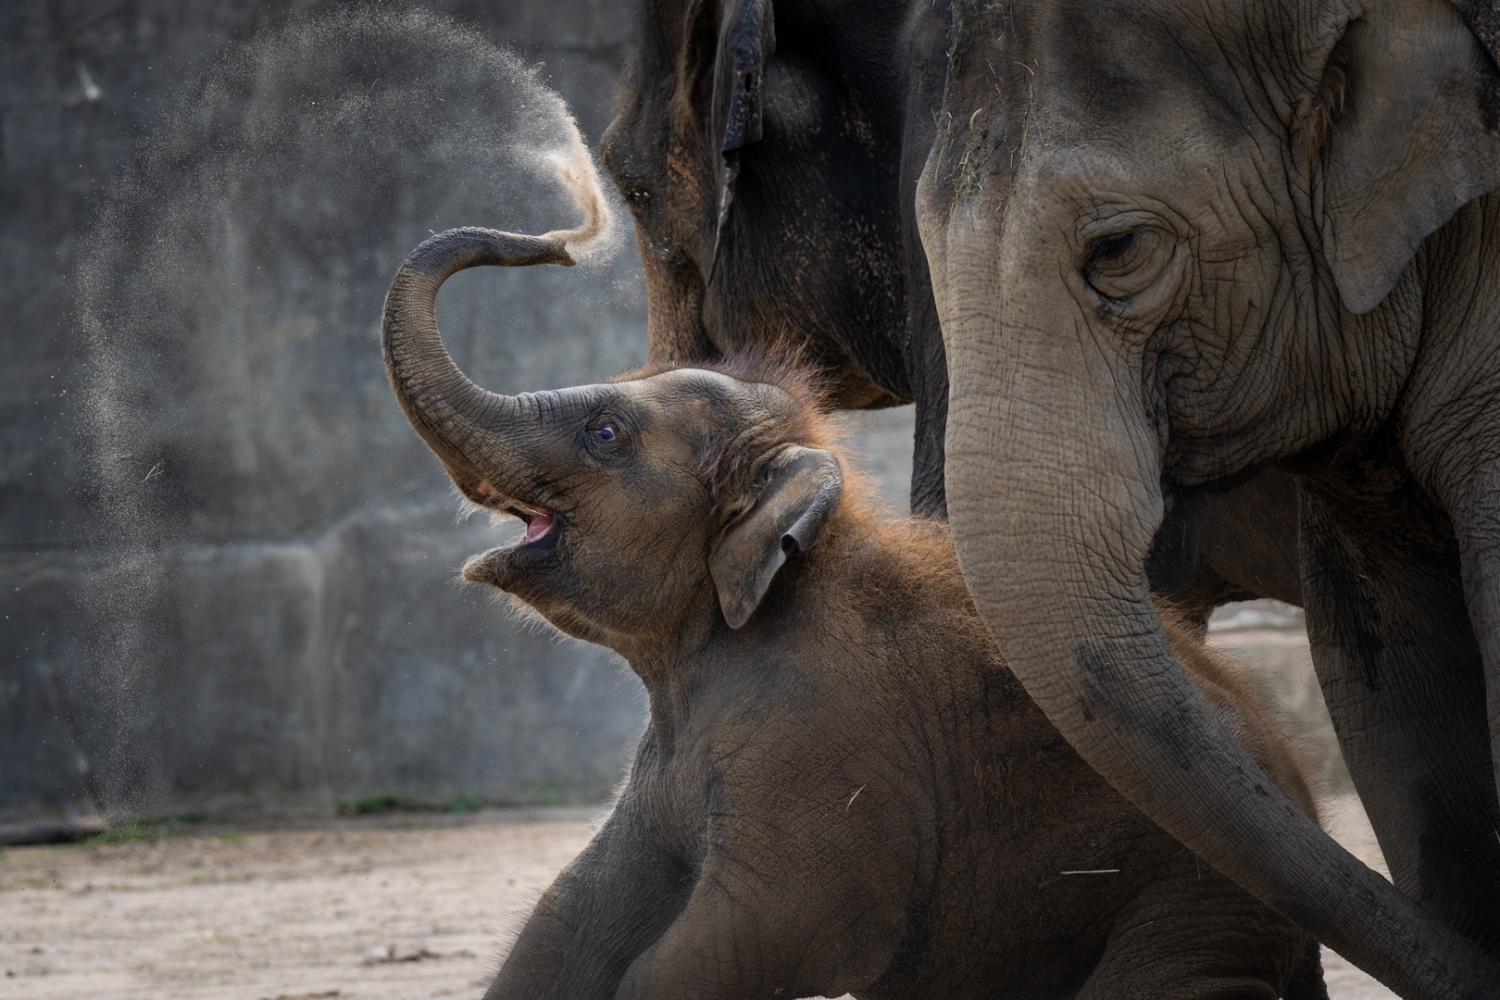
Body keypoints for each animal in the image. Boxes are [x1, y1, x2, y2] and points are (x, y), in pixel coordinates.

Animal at [381, 226, 1320, 1000]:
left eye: (605, 433)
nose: (555, 243)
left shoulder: (826, 748)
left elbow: (740, 942)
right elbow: (568, 920)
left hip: (1195, 906)